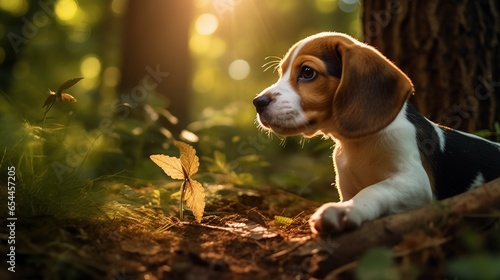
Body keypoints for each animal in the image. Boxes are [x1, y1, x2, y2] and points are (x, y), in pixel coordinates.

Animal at [252, 31, 500, 235]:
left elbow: (375, 190)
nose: (258, 102)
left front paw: (345, 211)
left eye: (307, 72)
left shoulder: (414, 180)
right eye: (281, 73)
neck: (356, 144)